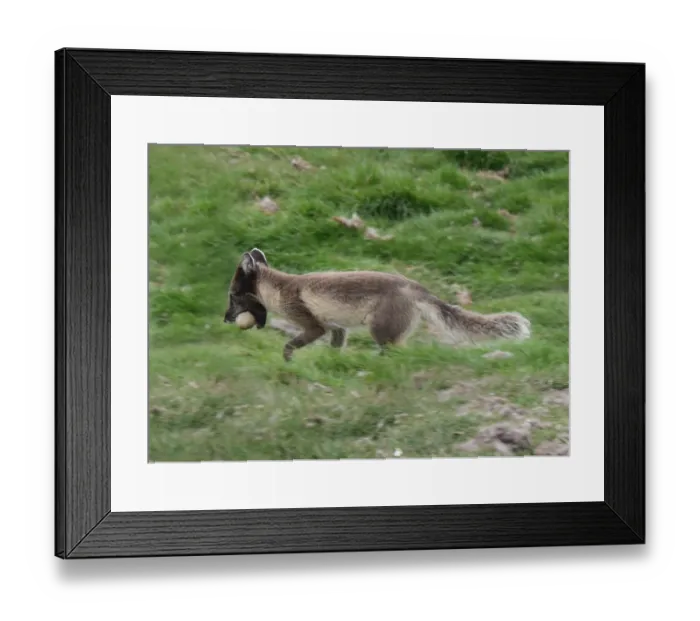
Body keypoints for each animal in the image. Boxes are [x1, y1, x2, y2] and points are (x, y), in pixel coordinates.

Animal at [224, 248, 531, 362]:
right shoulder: (337, 329)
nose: (225, 318)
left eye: (232, 296)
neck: (280, 289)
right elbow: (336, 349)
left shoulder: (314, 326)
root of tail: (417, 287)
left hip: (381, 333)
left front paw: (288, 362)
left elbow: (289, 346)